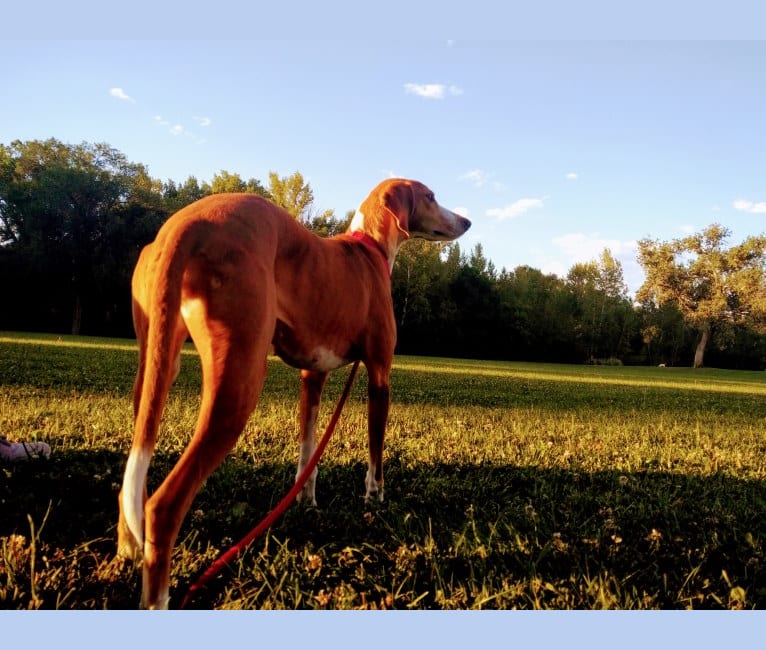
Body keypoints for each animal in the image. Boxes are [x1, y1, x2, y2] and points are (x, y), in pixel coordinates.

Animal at [117, 175, 472, 604]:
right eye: (431, 197)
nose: (467, 221)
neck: (367, 248)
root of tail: (184, 224)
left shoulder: (312, 376)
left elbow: (307, 450)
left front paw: (306, 500)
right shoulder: (379, 375)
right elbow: (376, 450)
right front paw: (375, 497)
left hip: (154, 369)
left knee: (132, 483)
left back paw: (127, 552)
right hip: (238, 380)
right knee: (163, 505)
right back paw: (159, 598)